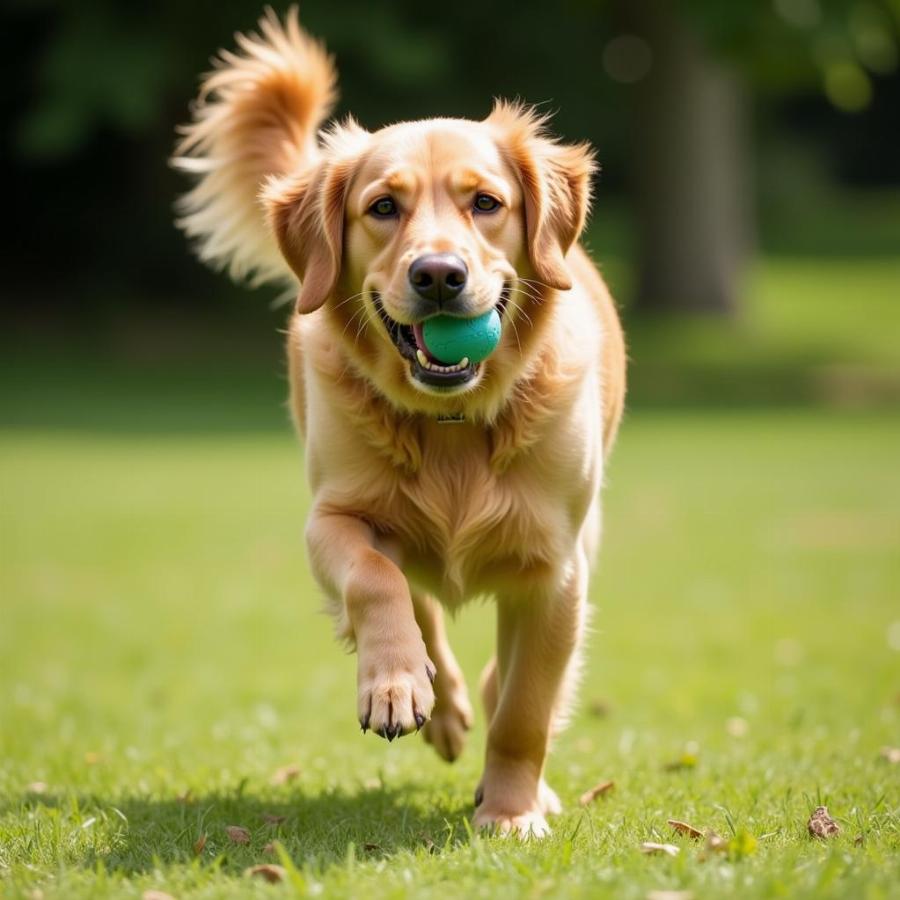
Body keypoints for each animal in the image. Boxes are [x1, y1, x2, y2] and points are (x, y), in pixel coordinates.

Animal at [174, 7, 624, 836]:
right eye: (383, 206)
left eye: (486, 203)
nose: (439, 275)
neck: (452, 422)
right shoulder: (331, 520)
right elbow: (376, 582)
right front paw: (394, 685)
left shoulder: (555, 569)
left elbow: (524, 708)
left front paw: (512, 813)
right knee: (417, 599)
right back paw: (429, 698)